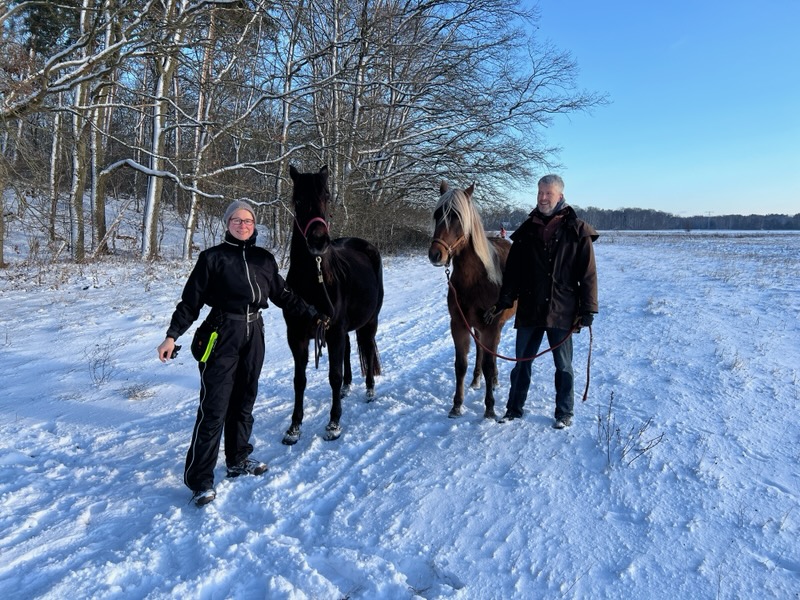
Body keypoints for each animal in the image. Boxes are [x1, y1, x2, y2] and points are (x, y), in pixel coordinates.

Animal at [282, 165, 384, 444]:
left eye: (326, 196)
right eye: (297, 200)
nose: (318, 241)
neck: (313, 280)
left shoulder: (334, 330)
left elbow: (333, 377)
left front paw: (334, 424)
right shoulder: (297, 336)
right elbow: (299, 380)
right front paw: (294, 427)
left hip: (369, 321)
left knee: (367, 347)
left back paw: (369, 390)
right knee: (349, 350)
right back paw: (349, 386)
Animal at [428, 181, 515, 419]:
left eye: (458, 217)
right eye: (437, 215)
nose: (435, 254)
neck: (474, 281)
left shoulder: (491, 326)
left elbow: (488, 363)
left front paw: (490, 408)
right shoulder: (458, 324)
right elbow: (461, 365)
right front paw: (457, 405)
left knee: (491, 353)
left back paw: (493, 380)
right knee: (480, 352)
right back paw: (477, 380)